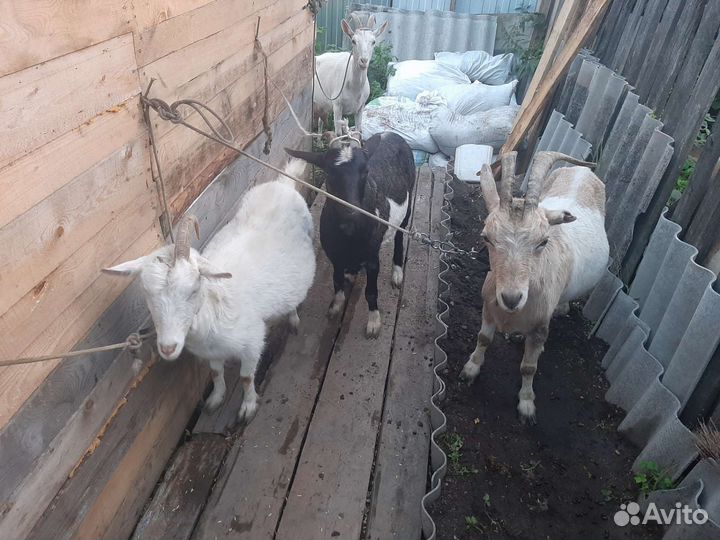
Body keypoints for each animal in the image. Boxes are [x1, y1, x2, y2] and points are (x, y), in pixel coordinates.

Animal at [102, 160, 316, 423]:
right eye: (147, 294)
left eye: (194, 289)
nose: (168, 348)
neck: (213, 309)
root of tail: (283, 183)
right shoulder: (211, 351)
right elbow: (215, 373)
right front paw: (215, 399)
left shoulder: (253, 342)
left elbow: (246, 378)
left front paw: (247, 407)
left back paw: (293, 319)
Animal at [286, 132, 415, 338]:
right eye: (329, 173)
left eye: (366, 171)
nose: (352, 214)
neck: (349, 233)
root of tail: (390, 133)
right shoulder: (334, 255)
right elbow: (336, 280)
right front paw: (336, 305)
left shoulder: (372, 258)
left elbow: (371, 292)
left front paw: (373, 322)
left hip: (409, 196)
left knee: (400, 234)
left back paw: (397, 272)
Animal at [459, 151, 609, 423]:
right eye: (486, 237)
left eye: (543, 241)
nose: (511, 298)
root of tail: (583, 171)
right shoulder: (488, 307)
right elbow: (484, 338)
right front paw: (470, 370)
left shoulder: (540, 327)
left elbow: (529, 367)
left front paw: (527, 406)